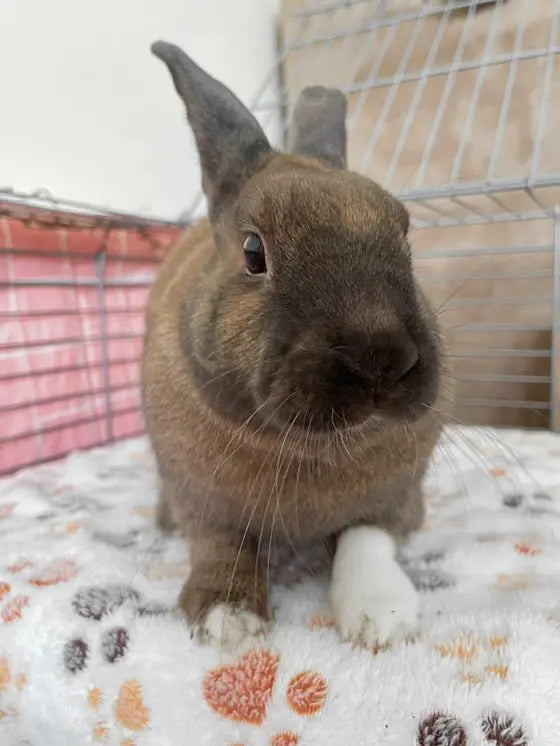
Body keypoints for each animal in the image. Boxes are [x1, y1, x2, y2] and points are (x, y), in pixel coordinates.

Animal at [143, 40, 448, 652]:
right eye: (253, 251)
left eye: (403, 234)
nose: (380, 358)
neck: (307, 448)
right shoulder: (201, 504)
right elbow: (222, 545)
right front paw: (229, 620)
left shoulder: (393, 501)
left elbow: (365, 539)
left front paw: (382, 619)